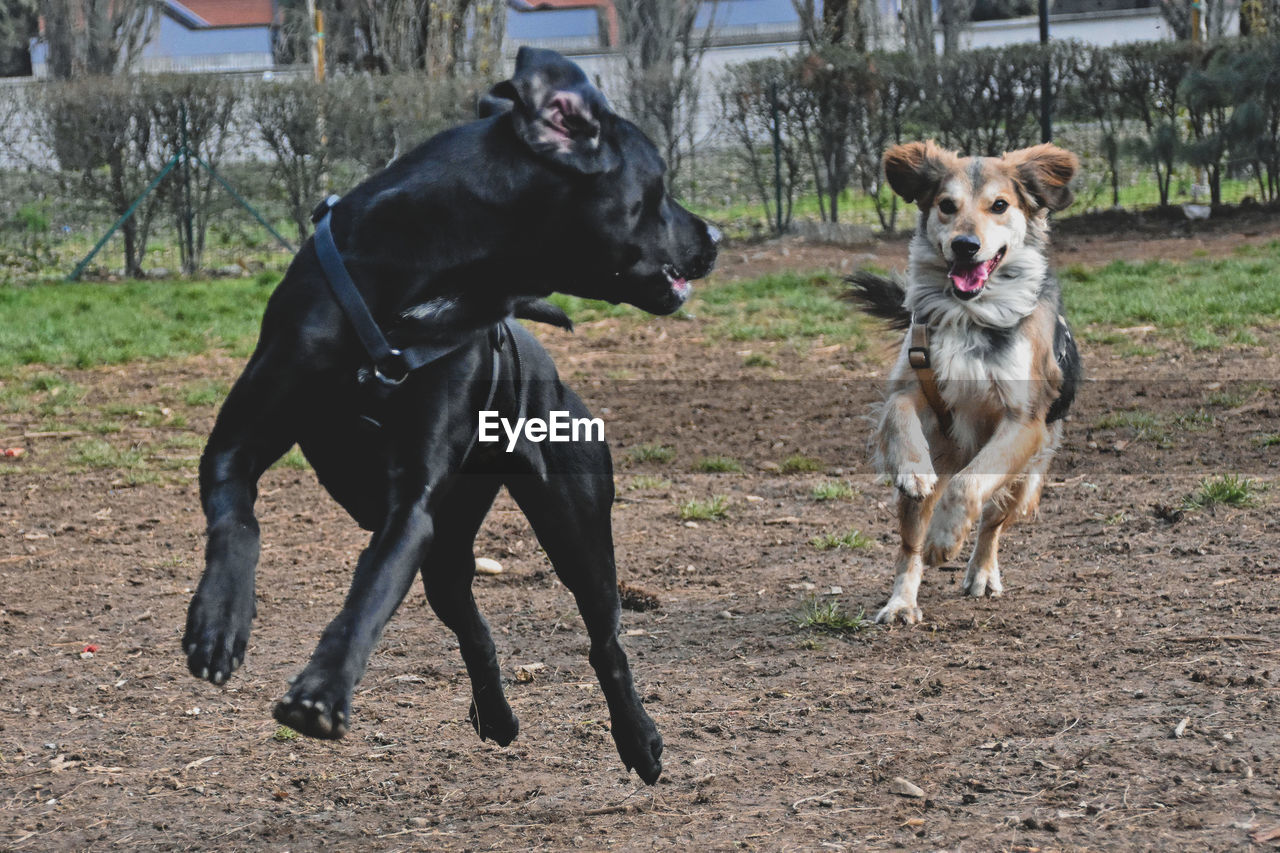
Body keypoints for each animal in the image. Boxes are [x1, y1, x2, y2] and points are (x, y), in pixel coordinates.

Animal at [181, 44, 716, 778]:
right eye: (659, 190)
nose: (714, 234)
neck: (409, 292)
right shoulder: (237, 446)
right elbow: (237, 527)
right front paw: (218, 624)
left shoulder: (410, 507)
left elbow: (370, 591)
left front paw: (321, 691)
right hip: (448, 560)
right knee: (476, 629)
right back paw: (495, 715)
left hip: (574, 526)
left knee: (604, 638)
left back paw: (639, 738)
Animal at [849, 137, 1080, 617]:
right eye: (946, 206)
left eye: (1000, 205)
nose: (965, 246)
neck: (969, 314)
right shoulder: (914, 382)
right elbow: (899, 414)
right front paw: (913, 468)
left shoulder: (1023, 421)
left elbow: (969, 485)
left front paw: (946, 536)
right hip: (935, 464)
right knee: (909, 545)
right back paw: (901, 602)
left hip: (1025, 478)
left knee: (991, 522)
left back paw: (981, 572)